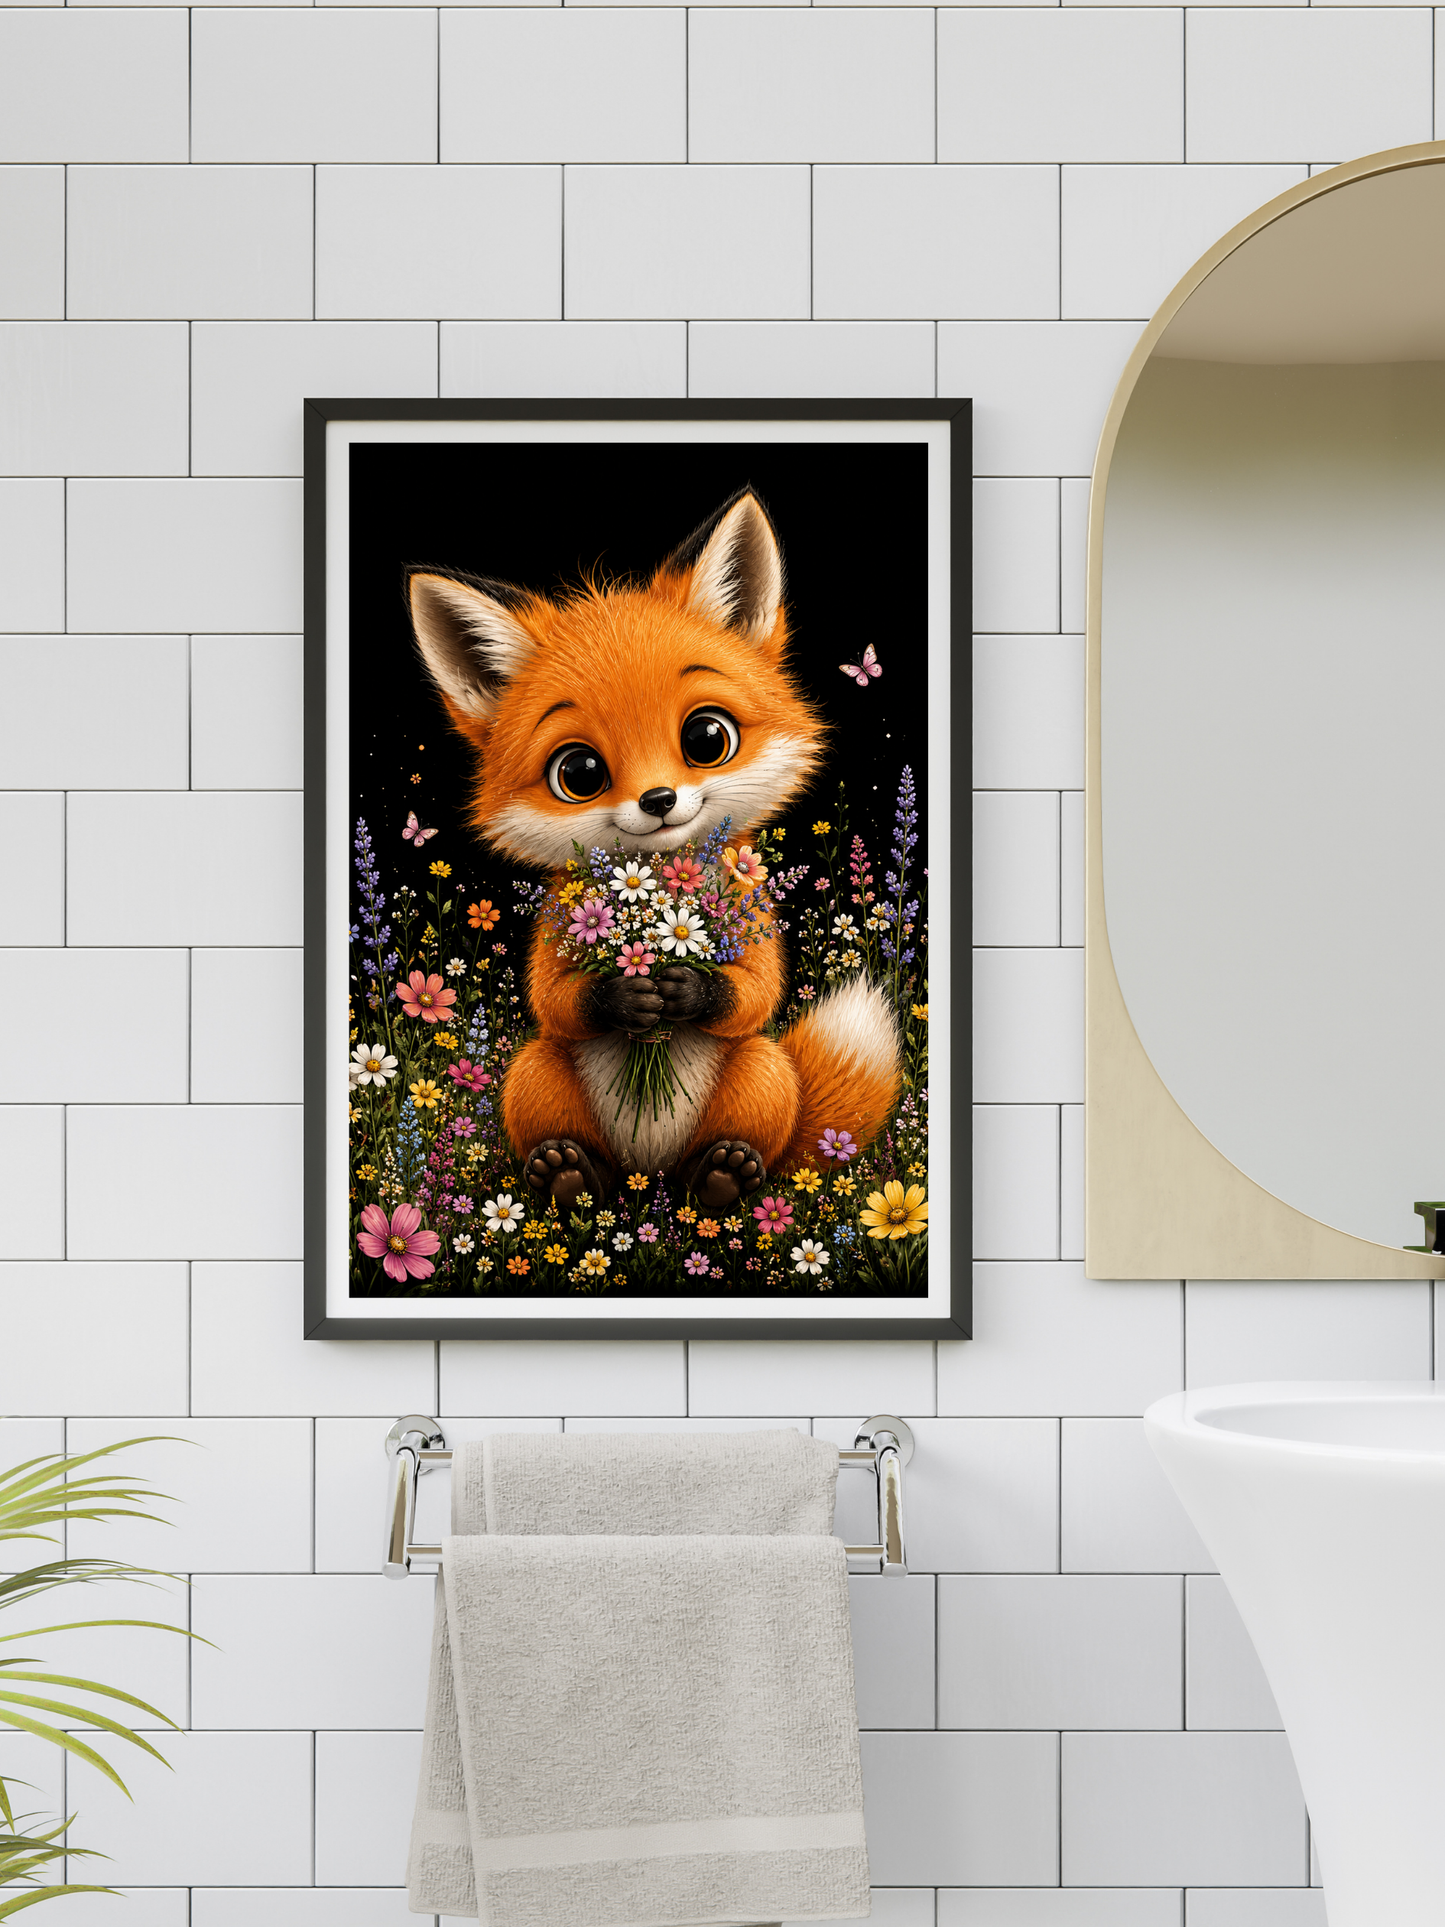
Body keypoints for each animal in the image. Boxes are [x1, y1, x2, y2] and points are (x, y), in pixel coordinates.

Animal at [405, 487, 903, 1216]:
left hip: (762, 1069)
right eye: (578, 773)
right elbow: (557, 1000)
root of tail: (650, 1180)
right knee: (577, 1153)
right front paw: (627, 995)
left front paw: (684, 987)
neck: (660, 888)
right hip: (534, 1069)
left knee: (739, 1147)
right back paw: (572, 1176)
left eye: (706, 737)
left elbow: (753, 991)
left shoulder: (750, 914)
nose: (659, 798)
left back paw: (723, 1177)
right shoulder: (557, 931)